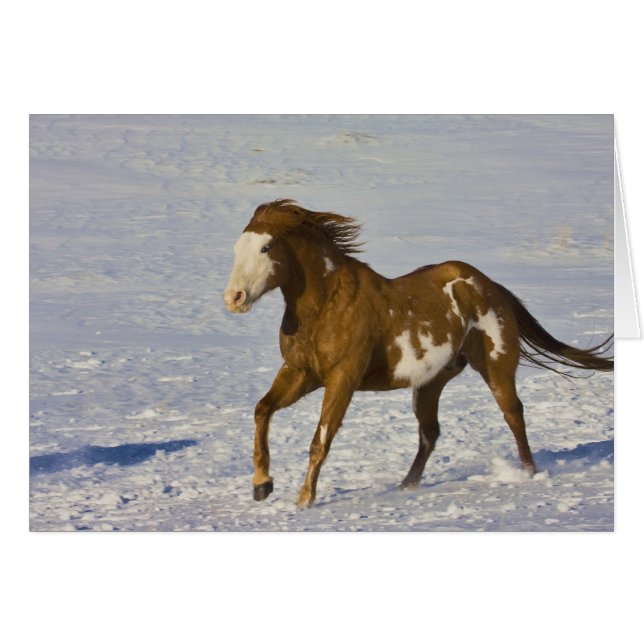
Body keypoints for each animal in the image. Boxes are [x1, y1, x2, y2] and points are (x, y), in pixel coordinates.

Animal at [223, 199, 613, 509]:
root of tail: (489, 285)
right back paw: (406, 485)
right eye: (237, 247)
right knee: (430, 433)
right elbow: (262, 410)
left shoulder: (341, 378)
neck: (326, 306)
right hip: (431, 382)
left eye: (266, 248)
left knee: (513, 415)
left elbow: (320, 439)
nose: (234, 298)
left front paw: (304, 499)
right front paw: (262, 485)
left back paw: (529, 474)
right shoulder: (301, 372)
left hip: (496, 367)